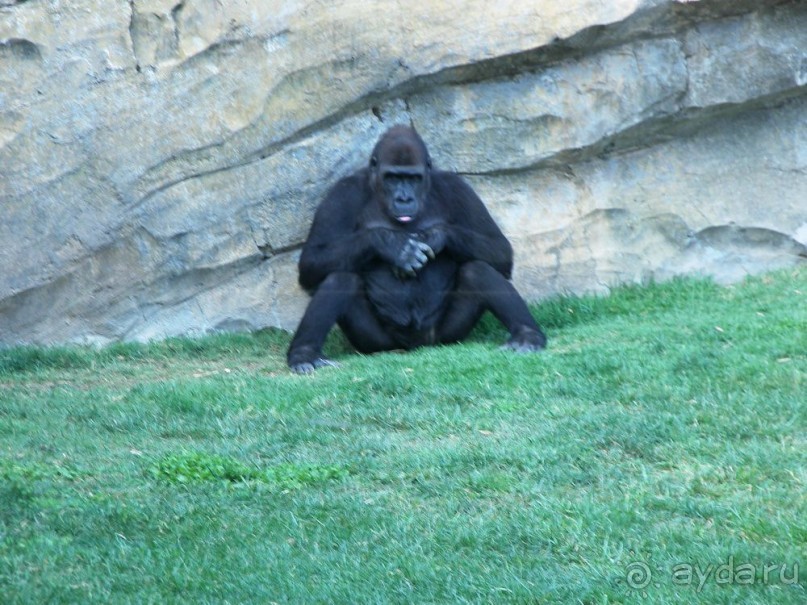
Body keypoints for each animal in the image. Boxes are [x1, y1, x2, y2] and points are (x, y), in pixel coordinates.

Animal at [288, 125, 548, 372]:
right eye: (392, 178)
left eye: (413, 178)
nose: (404, 199)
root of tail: (416, 346)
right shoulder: (342, 192)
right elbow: (312, 260)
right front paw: (392, 245)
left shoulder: (457, 187)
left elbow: (500, 250)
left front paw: (436, 236)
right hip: (378, 343)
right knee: (341, 278)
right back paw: (303, 353)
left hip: (444, 336)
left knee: (478, 270)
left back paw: (528, 335)